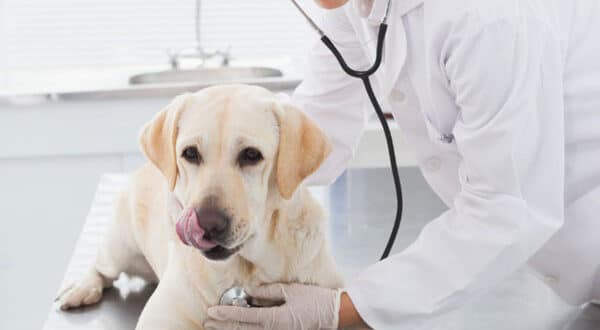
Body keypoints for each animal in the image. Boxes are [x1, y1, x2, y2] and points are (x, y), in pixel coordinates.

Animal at [58, 84, 346, 328]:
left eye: (251, 155)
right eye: (190, 153)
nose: (208, 224)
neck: (244, 270)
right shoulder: (159, 319)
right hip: (120, 246)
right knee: (100, 266)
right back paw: (81, 288)